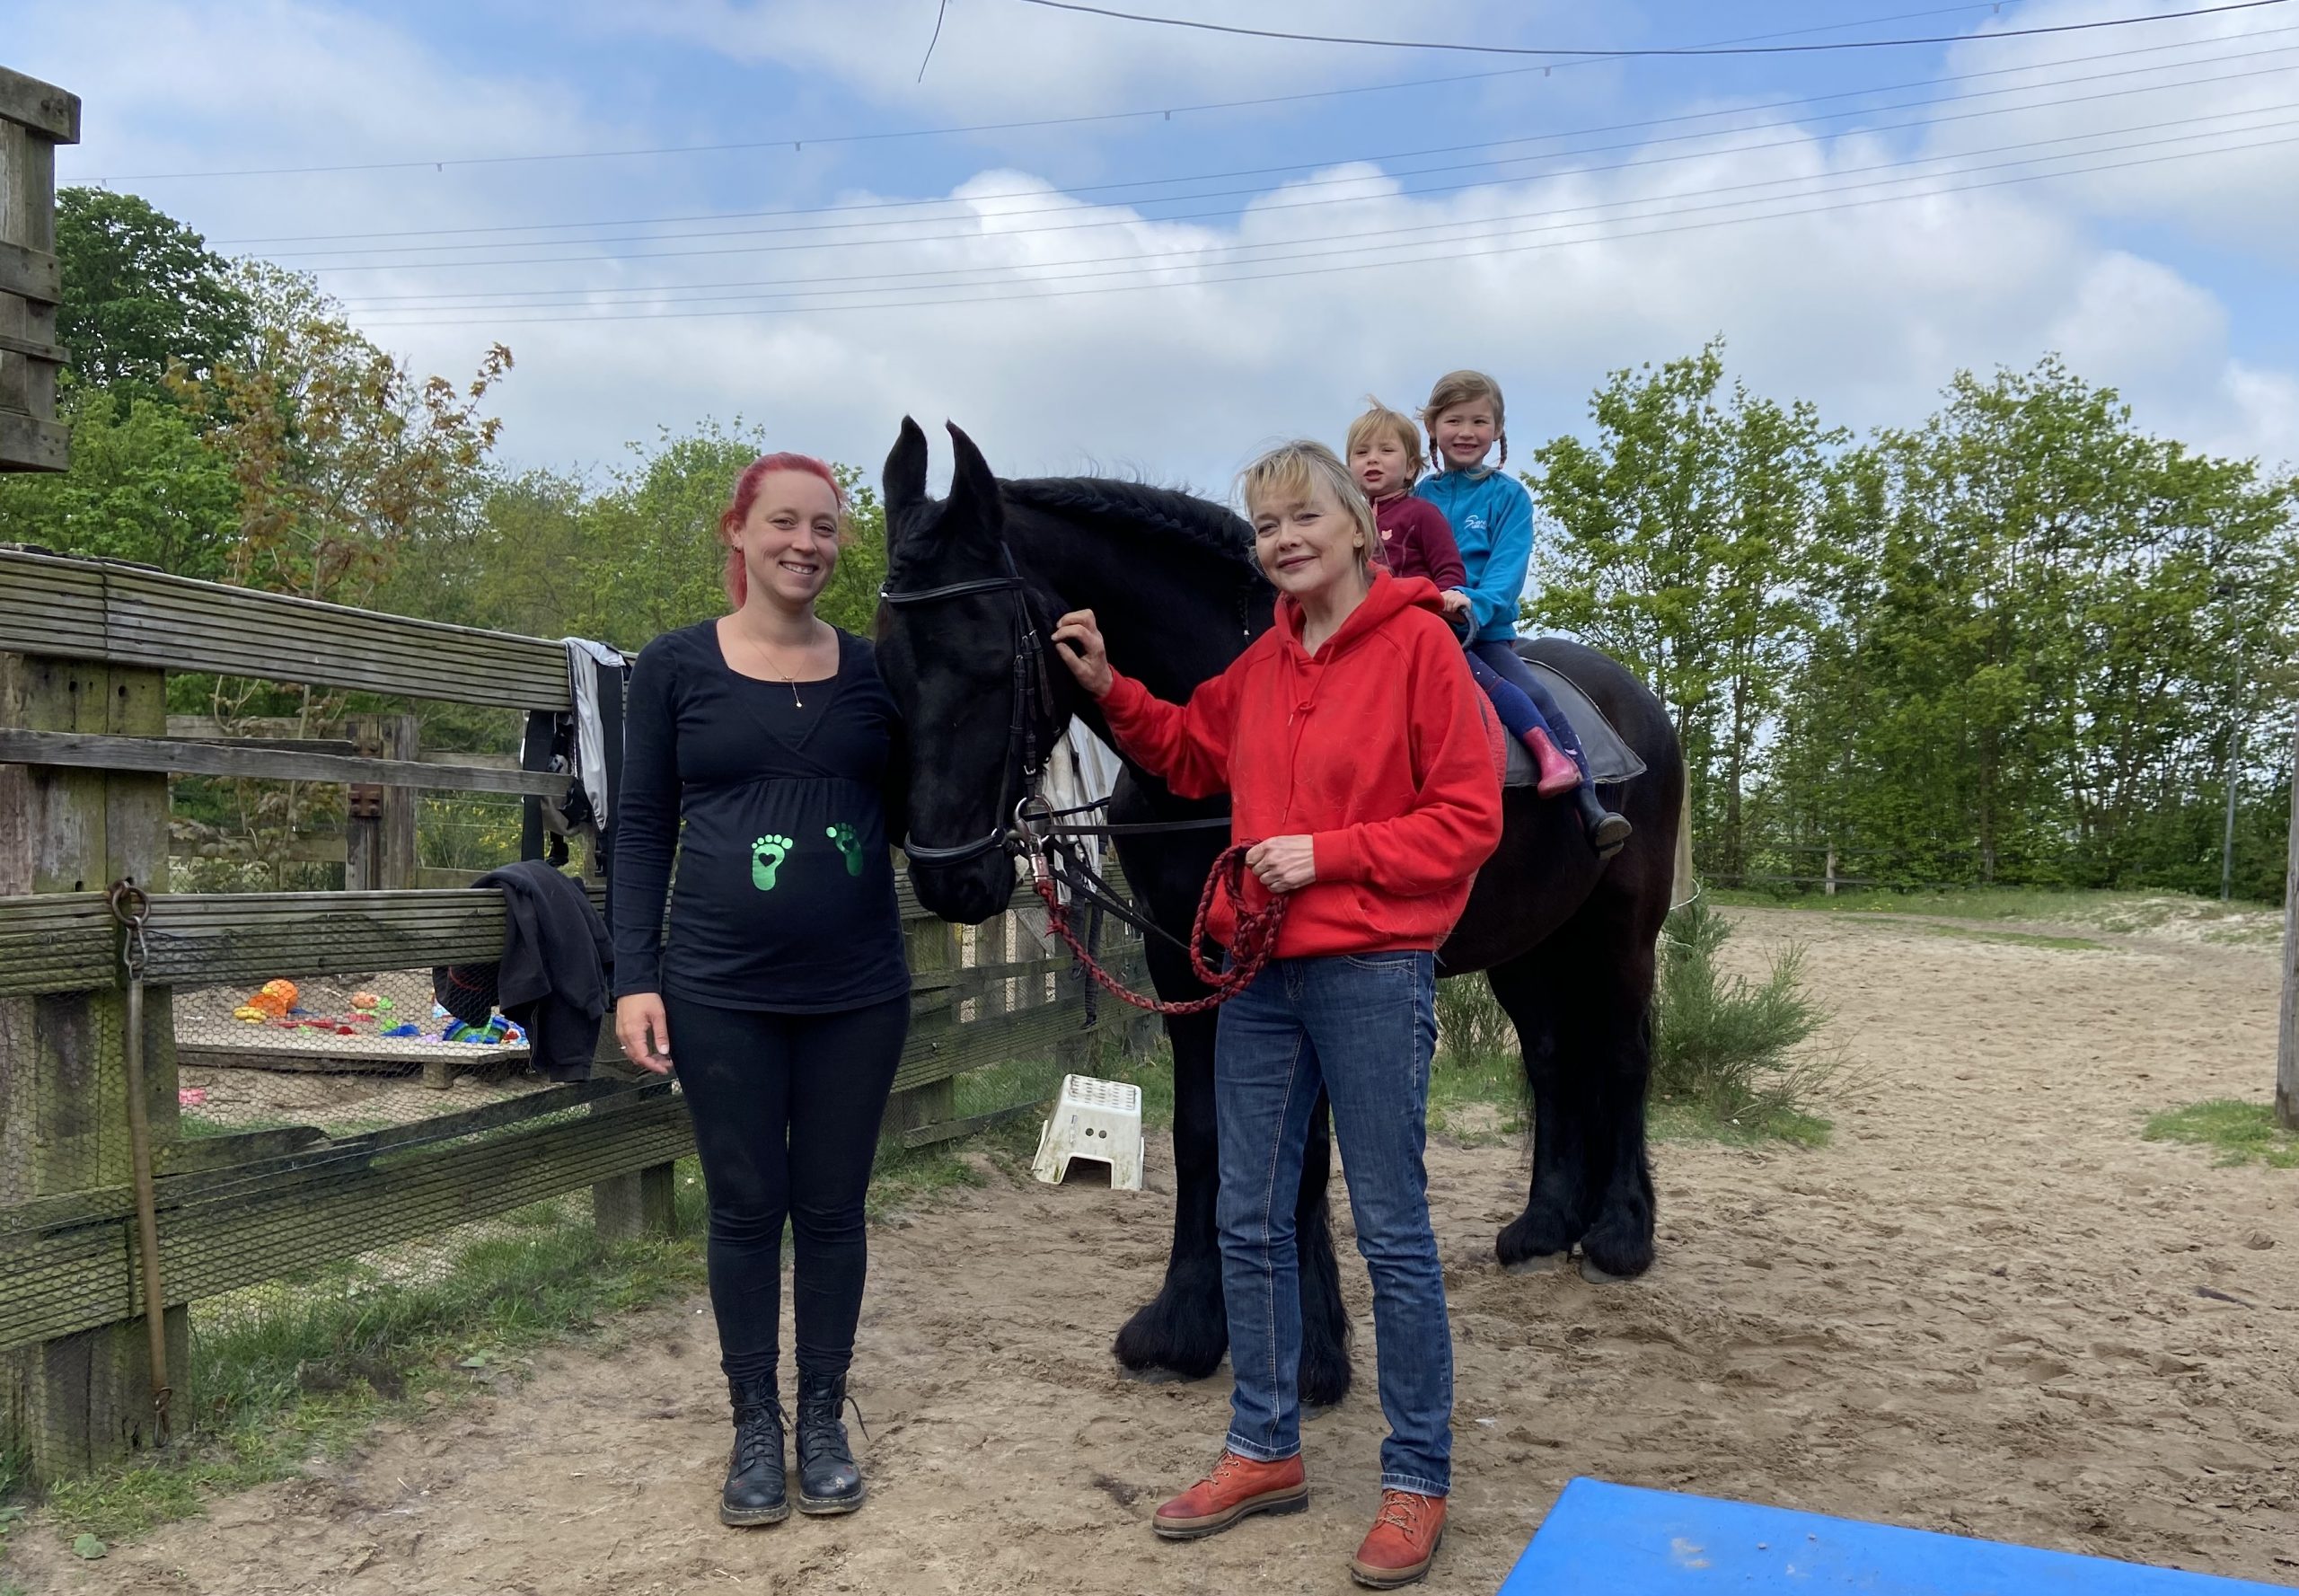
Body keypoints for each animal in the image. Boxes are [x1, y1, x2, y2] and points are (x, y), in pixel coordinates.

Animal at [868, 419, 1682, 1407]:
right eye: (885, 665)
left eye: (992, 662)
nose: (948, 879)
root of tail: (1631, 704)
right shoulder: (1185, 961)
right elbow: (1203, 1133)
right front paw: (1183, 1326)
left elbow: (1303, 1152)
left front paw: (1310, 1352)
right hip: (1530, 945)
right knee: (1558, 1058)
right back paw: (1542, 1227)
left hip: (1620, 931)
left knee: (1624, 1055)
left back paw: (1619, 1234)